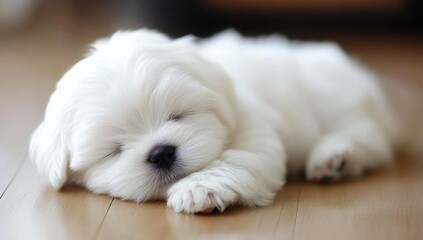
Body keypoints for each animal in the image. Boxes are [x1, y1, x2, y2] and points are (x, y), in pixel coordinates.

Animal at [29, 28, 398, 214]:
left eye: (177, 115)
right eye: (114, 149)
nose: (161, 153)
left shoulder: (252, 128)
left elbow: (235, 158)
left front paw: (198, 189)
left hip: (336, 102)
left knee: (368, 139)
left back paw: (332, 157)